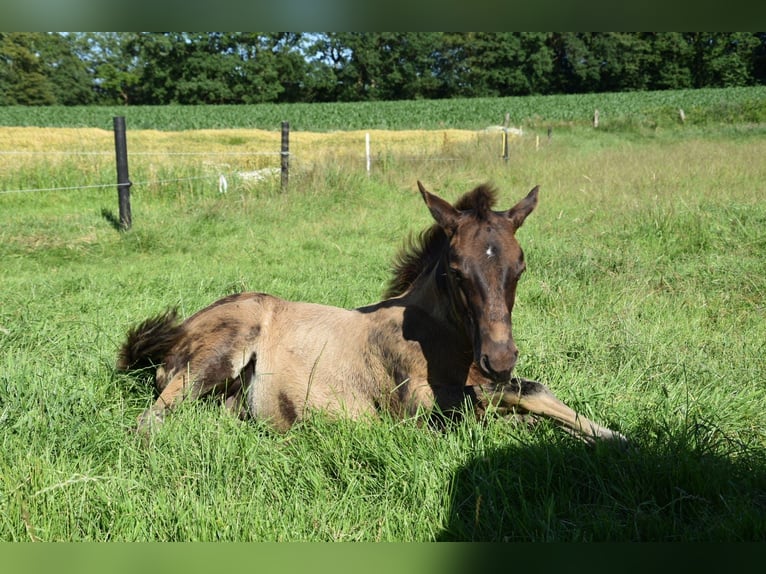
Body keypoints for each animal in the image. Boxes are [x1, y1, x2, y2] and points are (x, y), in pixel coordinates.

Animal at [117, 181, 626, 443]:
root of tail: (178, 333)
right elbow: (506, 401)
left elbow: (527, 391)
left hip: (230, 400)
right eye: (456, 270)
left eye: (520, 266)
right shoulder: (420, 411)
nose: (498, 358)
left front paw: (612, 435)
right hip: (221, 350)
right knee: (151, 421)